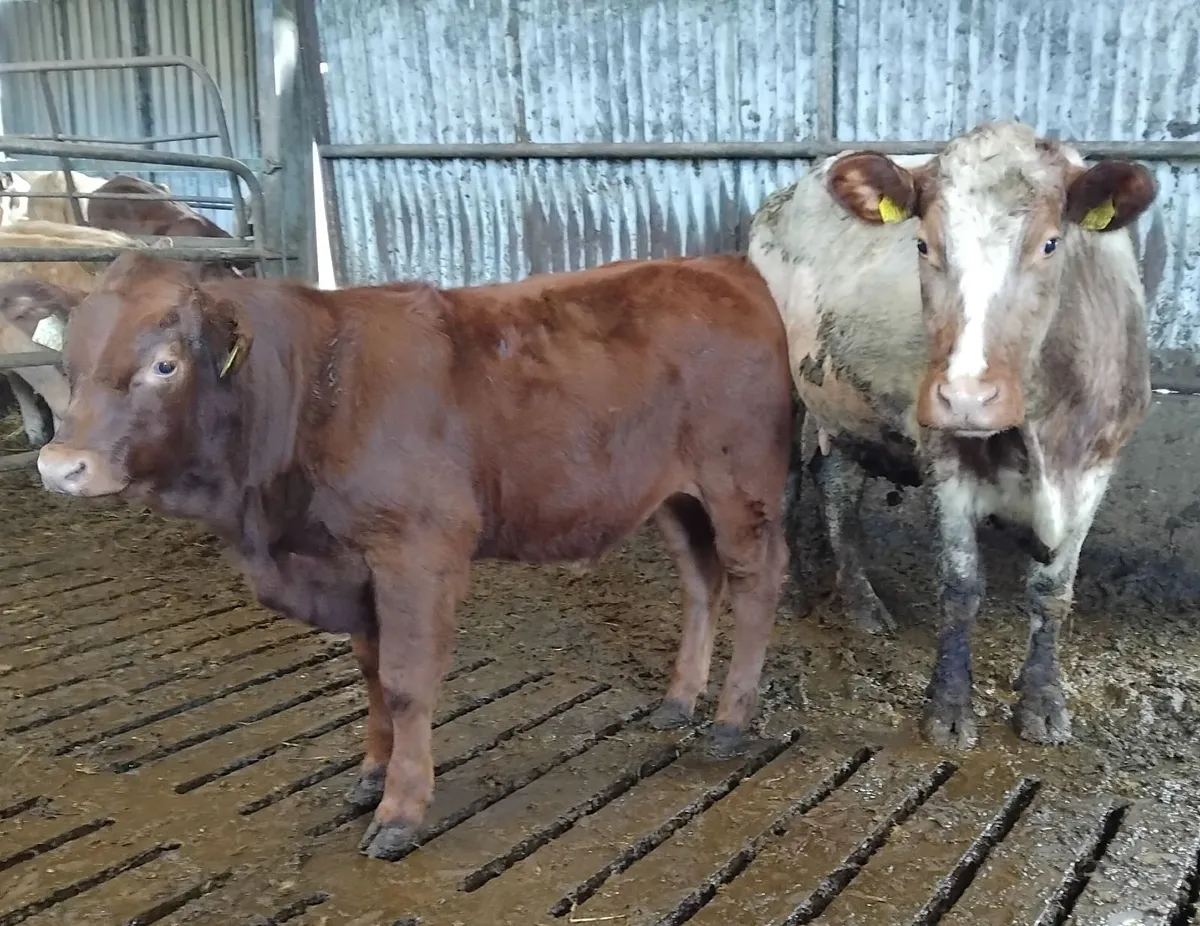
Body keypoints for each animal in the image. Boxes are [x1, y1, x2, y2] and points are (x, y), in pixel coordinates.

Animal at [35, 250, 795, 860]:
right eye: (69, 366)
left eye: (164, 364)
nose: (60, 466)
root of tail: (721, 265)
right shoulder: (351, 566)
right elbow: (371, 674)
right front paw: (370, 775)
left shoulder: (418, 550)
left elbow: (405, 682)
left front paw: (401, 810)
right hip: (673, 495)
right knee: (700, 581)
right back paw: (679, 699)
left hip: (740, 482)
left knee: (755, 581)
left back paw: (730, 720)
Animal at [749, 121, 1157, 750]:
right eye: (922, 244)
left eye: (1050, 244)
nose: (965, 397)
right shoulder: (945, 456)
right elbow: (961, 585)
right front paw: (949, 708)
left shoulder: (1097, 464)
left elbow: (1053, 591)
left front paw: (1044, 703)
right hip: (785, 388)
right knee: (790, 483)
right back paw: (791, 592)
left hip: (846, 406)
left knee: (837, 488)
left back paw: (863, 606)